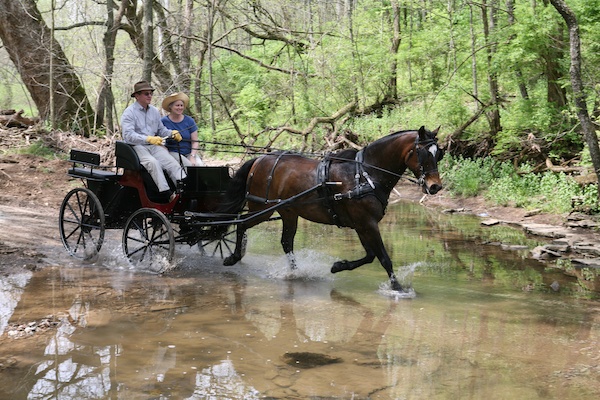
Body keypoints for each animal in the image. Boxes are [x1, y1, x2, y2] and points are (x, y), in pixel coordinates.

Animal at [218, 126, 442, 292]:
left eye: (438, 154)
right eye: (422, 153)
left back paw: (296, 273)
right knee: (241, 224)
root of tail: (259, 159)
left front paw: (338, 266)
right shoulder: (367, 224)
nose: (435, 186)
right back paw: (234, 257)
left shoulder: (361, 225)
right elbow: (384, 258)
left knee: (286, 242)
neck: (365, 174)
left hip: (289, 212)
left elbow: (370, 255)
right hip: (262, 208)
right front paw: (397, 288)